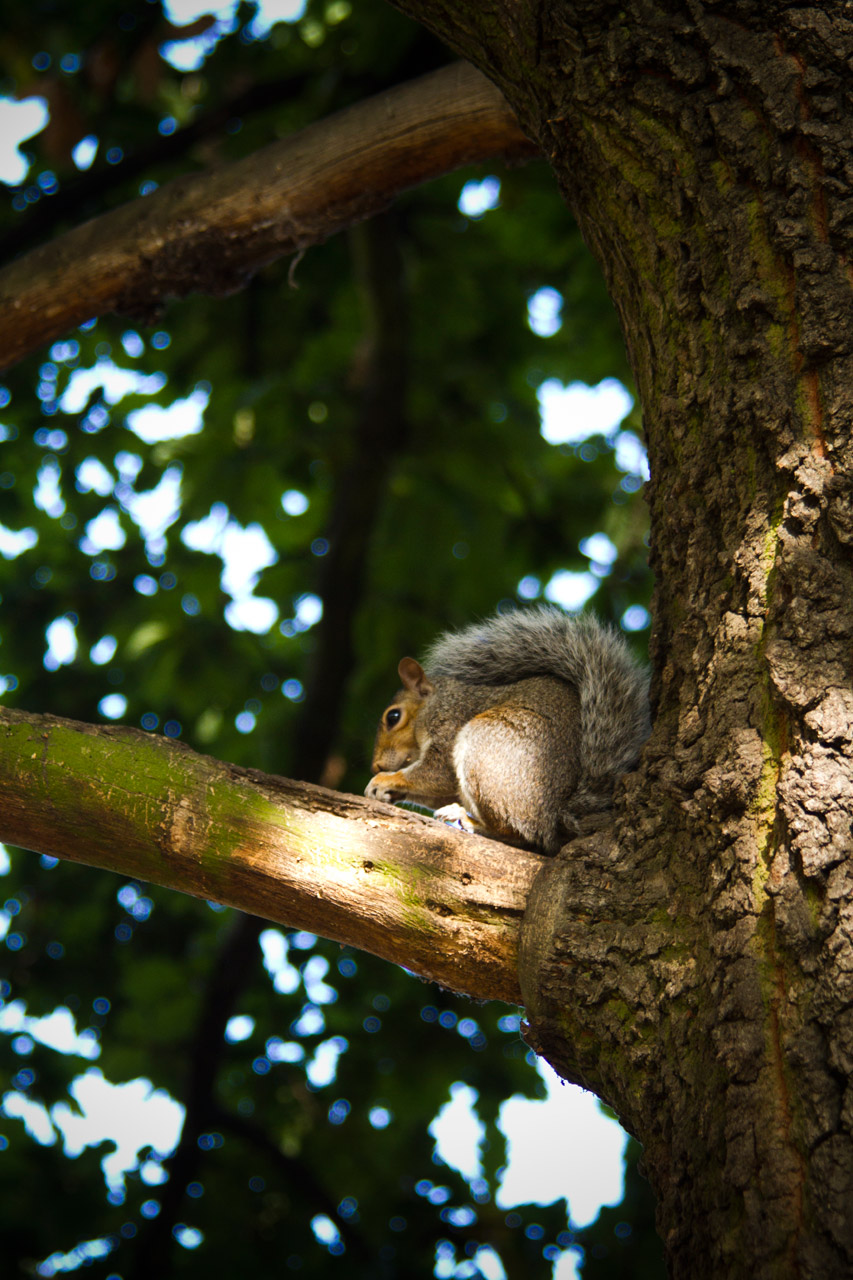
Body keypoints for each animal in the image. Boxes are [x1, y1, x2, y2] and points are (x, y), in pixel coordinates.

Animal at [361, 604, 648, 855]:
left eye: (393, 717)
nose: (375, 766)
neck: (435, 703)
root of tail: (556, 817)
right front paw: (387, 790)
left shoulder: (450, 721)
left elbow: (435, 774)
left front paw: (385, 780)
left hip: (486, 744)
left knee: (520, 835)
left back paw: (466, 819)